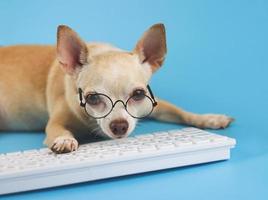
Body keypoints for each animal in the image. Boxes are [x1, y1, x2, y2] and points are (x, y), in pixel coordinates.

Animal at [0, 24, 232, 154]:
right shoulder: (56, 123)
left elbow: (182, 112)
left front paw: (209, 118)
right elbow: (58, 130)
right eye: (92, 99)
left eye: (138, 94)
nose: (119, 126)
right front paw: (65, 139)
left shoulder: (154, 105)